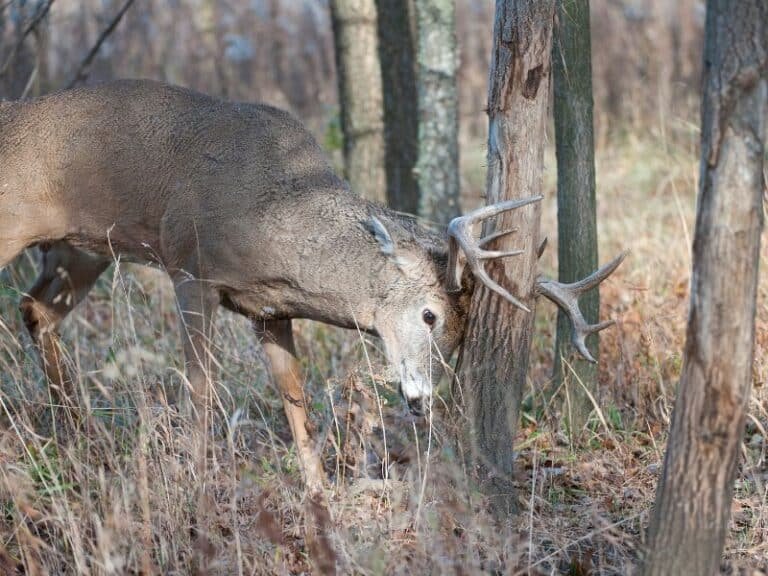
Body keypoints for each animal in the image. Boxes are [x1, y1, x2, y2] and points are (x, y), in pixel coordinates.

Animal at [0, 79, 624, 492]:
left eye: (460, 339)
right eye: (430, 315)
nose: (421, 399)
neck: (272, 215)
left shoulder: (269, 310)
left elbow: (295, 401)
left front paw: (319, 493)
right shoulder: (191, 268)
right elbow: (201, 389)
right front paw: (199, 479)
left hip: (80, 248)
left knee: (35, 309)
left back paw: (76, 434)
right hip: (18, 225)